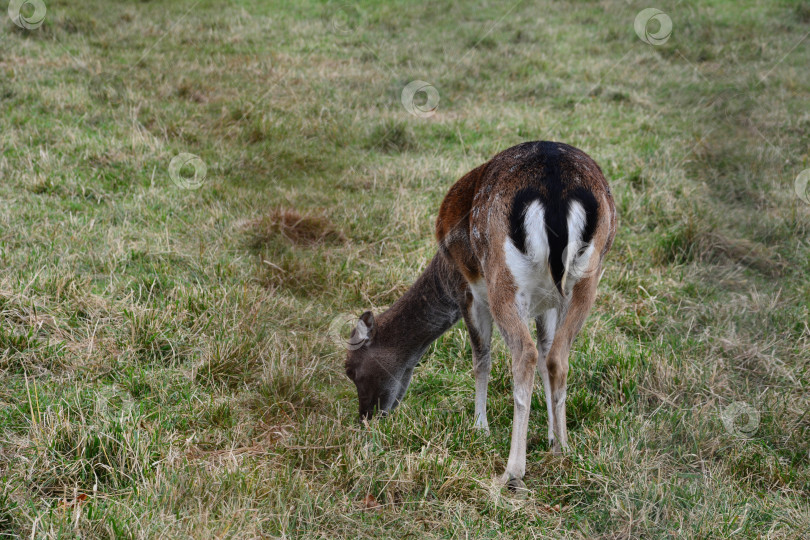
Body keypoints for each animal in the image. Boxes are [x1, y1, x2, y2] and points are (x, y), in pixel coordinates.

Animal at [340, 140, 612, 490]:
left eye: (351, 369)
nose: (366, 418)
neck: (443, 268)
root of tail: (554, 186)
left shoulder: (467, 289)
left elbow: (481, 358)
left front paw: (479, 426)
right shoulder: (547, 304)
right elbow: (546, 355)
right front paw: (553, 437)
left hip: (502, 280)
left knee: (523, 353)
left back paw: (512, 472)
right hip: (586, 279)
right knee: (557, 357)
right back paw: (563, 451)